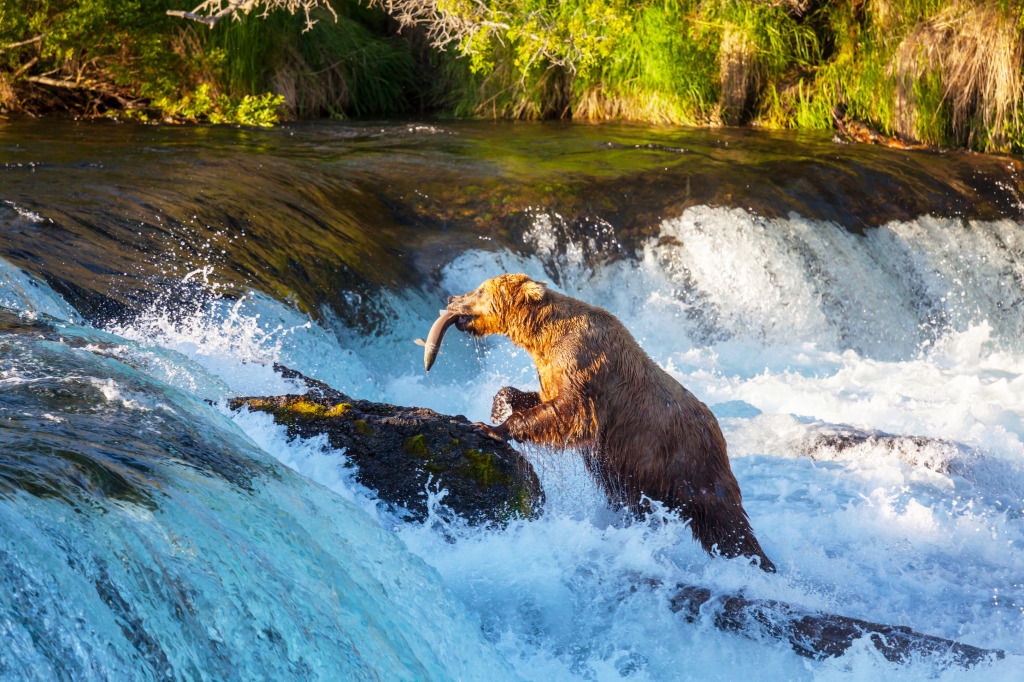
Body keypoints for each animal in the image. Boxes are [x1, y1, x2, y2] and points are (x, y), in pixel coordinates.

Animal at [448, 270, 774, 569]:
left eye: (480, 289)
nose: (452, 299)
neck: (543, 336)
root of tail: (719, 431)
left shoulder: (584, 366)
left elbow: (570, 413)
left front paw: (491, 428)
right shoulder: (553, 370)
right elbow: (543, 400)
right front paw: (500, 404)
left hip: (687, 463)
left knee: (725, 521)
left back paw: (757, 562)